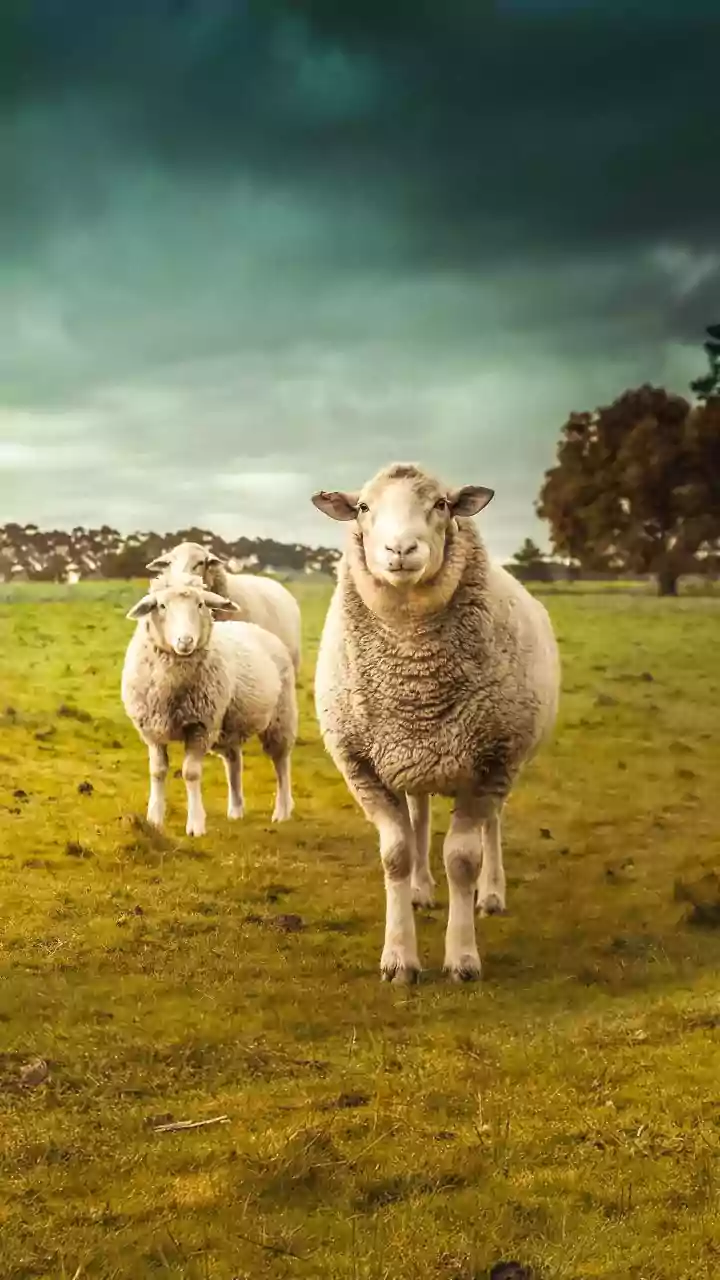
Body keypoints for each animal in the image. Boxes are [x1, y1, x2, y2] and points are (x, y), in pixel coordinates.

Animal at [121, 577, 297, 836]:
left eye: (201, 604)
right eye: (161, 605)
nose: (185, 641)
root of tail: (256, 628)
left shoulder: (200, 727)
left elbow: (190, 773)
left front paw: (195, 824)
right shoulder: (152, 730)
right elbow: (157, 771)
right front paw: (154, 818)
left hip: (280, 717)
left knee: (281, 762)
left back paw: (282, 811)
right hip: (228, 725)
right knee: (234, 761)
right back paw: (236, 810)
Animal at [311, 461, 561, 986]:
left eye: (442, 504)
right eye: (363, 507)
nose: (401, 550)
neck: (415, 682)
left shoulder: (493, 760)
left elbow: (463, 859)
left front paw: (462, 958)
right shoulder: (363, 765)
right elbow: (396, 854)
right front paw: (398, 958)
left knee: (491, 826)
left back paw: (491, 893)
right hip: (414, 758)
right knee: (420, 813)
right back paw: (421, 889)